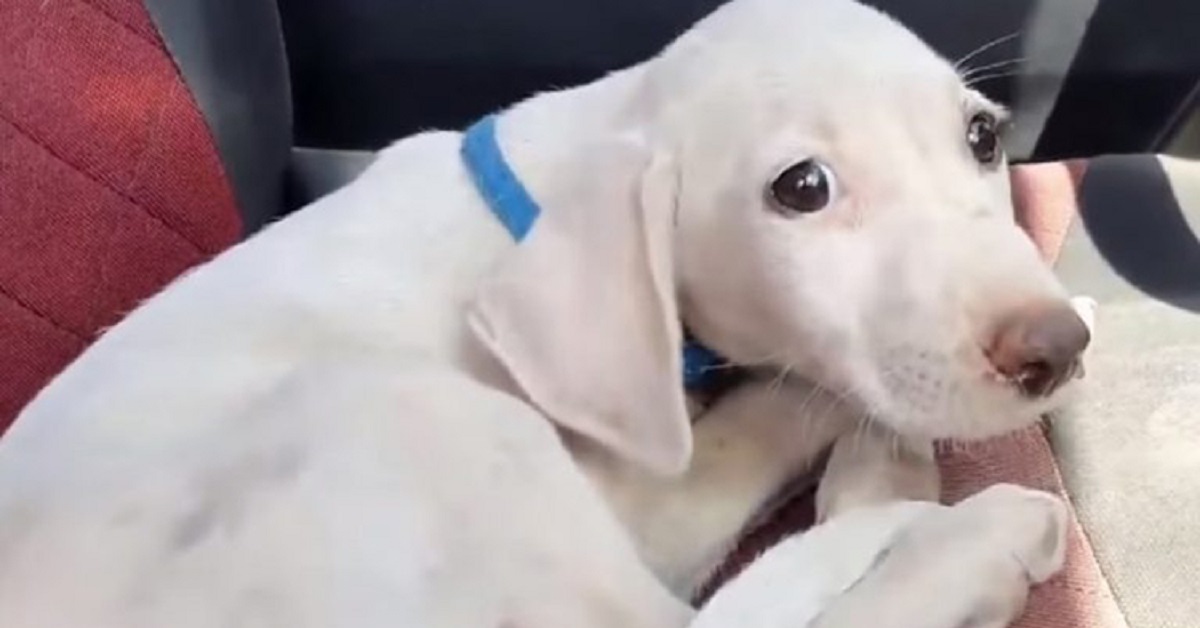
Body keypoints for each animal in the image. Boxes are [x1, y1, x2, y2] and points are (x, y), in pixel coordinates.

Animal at [0, 0, 1089, 624]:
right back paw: (977, 540)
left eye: (983, 137)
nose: (1059, 350)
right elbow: (783, 402)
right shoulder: (645, 499)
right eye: (802, 188)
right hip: (433, 421)